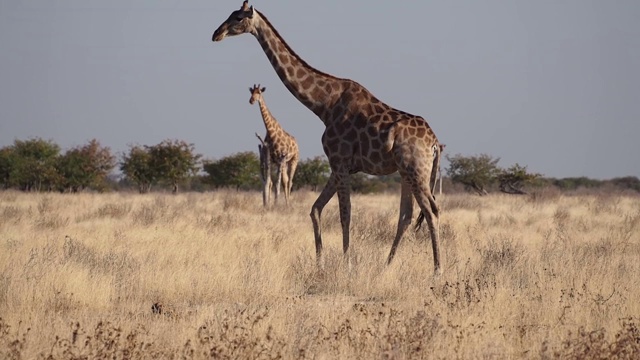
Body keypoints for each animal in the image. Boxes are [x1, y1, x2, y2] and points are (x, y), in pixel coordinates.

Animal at [212, 1, 442, 274]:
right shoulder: (339, 165)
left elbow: (345, 213)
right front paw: (320, 262)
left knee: (432, 211)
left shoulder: (339, 161)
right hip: (406, 172)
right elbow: (315, 209)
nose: (216, 34)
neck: (324, 105)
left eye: (238, 17)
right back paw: (386, 266)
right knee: (406, 215)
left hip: (417, 170)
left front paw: (347, 264)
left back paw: (437, 270)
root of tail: (435, 143)